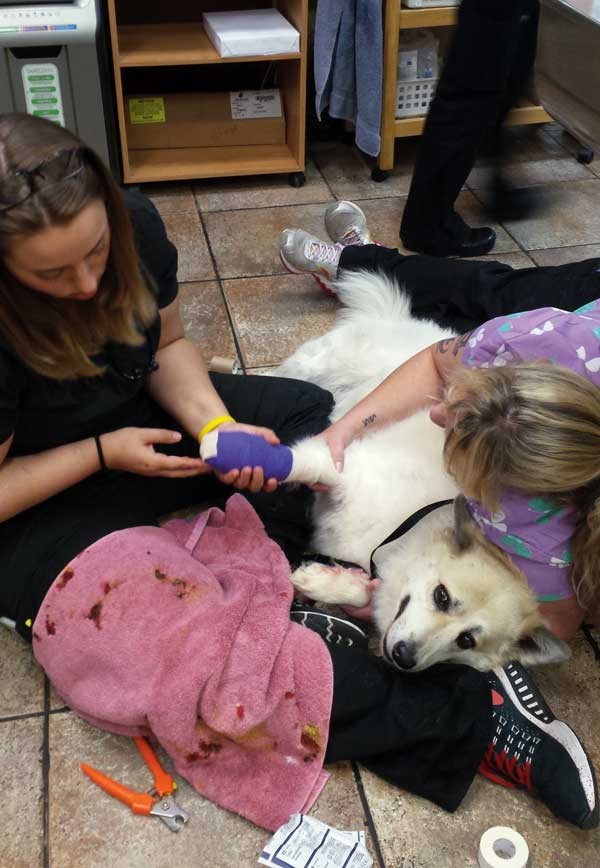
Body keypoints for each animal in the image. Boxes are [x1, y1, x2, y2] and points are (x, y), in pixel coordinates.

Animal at [274, 272, 568, 672]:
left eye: (466, 640)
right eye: (442, 597)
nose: (404, 658)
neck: (402, 531)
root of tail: (400, 319)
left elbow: (366, 590)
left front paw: (323, 583)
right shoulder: (348, 469)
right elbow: (306, 462)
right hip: (317, 365)